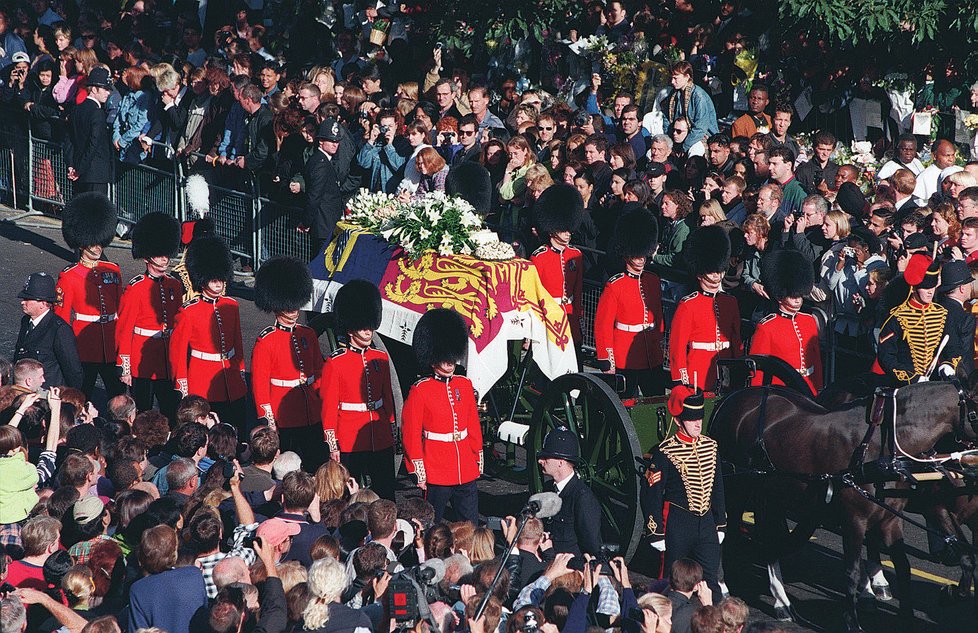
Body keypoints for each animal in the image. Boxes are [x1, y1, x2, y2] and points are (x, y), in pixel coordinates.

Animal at [708, 378, 976, 628]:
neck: (880, 449)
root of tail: (731, 398)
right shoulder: (855, 519)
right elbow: (851, 571)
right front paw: (852, 621)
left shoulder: (890, 519)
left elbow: (906, 567)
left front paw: (917, 611)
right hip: (734, 491)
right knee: (724, 535)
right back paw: (726, 590)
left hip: (771, 495)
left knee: (768, 540)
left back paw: (781, 600)